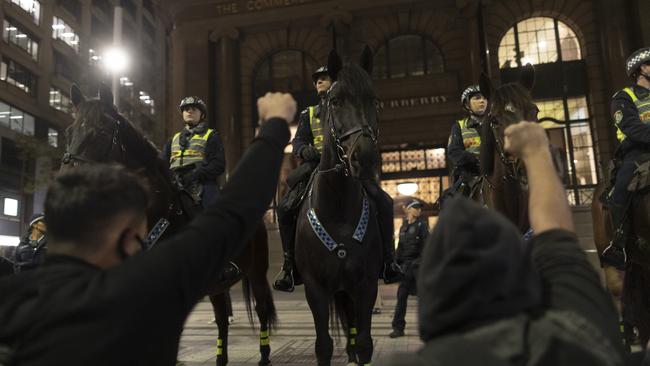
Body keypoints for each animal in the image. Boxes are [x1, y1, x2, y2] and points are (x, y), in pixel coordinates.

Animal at [64, 83, 278, 366]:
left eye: (101, 131)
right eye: (68, 132)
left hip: (257, 271)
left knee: (262, 308)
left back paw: (264, 356)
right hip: (216, 285)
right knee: (222, 318)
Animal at [294, 48, 382, 366]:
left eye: (373, 99)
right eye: (336, 100)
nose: (364, 158)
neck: (339, 208)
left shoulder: (366, 283)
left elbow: (365, 344)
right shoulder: (315, 288)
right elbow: (323, 346)